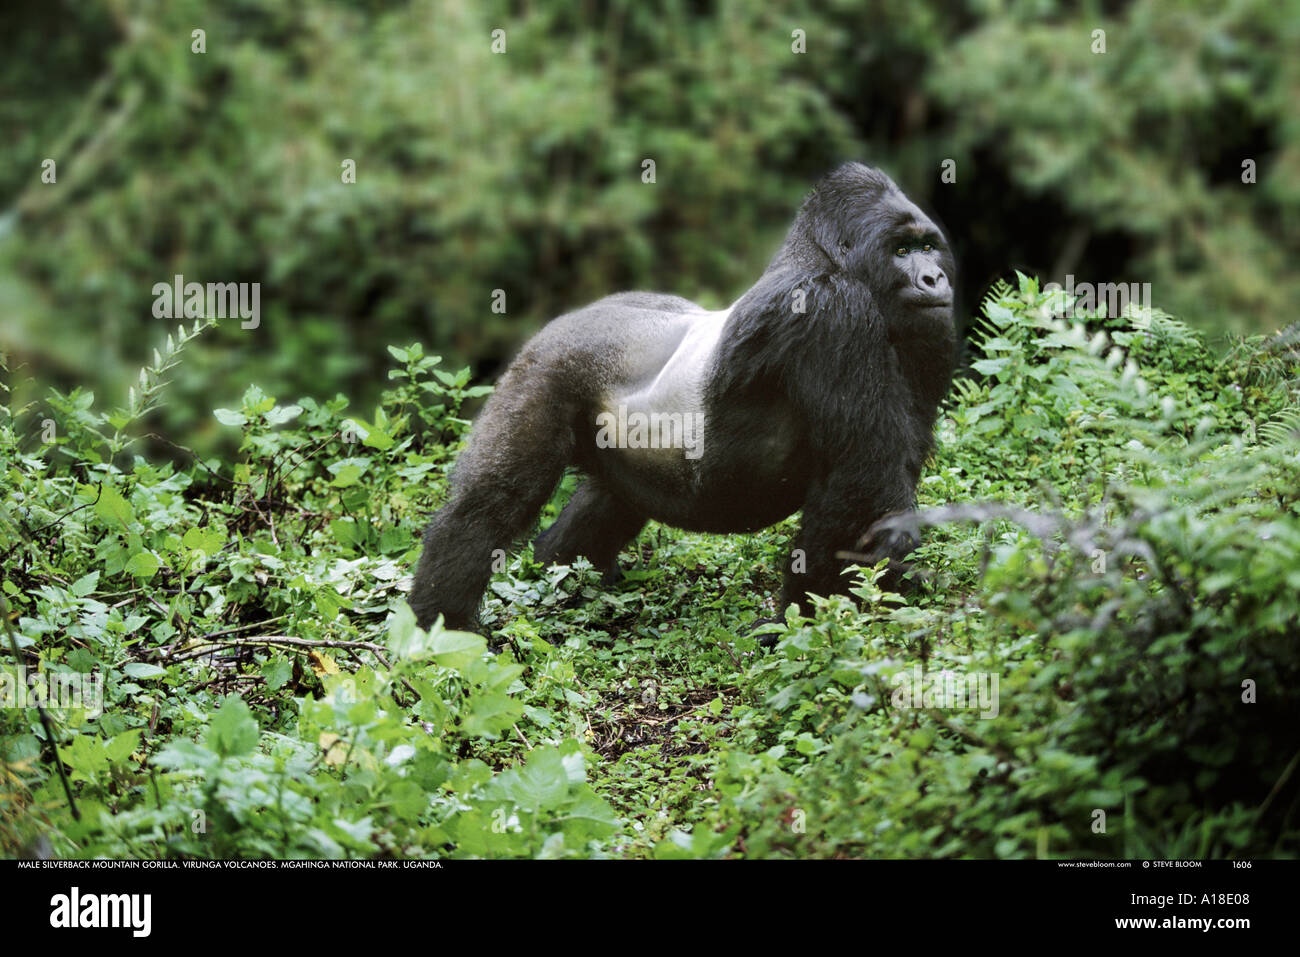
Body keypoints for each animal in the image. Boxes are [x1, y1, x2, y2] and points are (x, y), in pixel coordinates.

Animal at [410, 163, 961, 634]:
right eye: (901, 250)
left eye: (928, 246)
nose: (935, 277)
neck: (822, 256)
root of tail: (568, 318)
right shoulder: (833, 312)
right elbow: (860, 480)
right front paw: (812, 620)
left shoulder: (927, 332)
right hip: (545, 368)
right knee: (489, 504)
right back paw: (442, 624)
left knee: (607, 500)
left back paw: (562, 580)